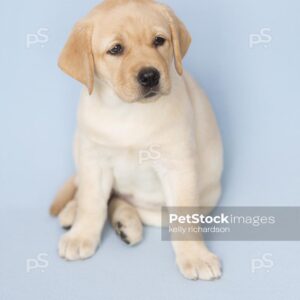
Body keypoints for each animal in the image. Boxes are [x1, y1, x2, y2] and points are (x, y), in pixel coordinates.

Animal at [49, 0, 223, 282]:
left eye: (159, 40)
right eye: (116, 49)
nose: (150, 76)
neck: (127, 111)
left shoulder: (178, 165)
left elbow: (185, 217)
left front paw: (195, 256)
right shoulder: (94, 159)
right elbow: (91, 201)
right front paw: (82, 235)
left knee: (118, 200)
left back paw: (125, 223)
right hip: (79, 145)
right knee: (87, 190)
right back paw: (73, 212)